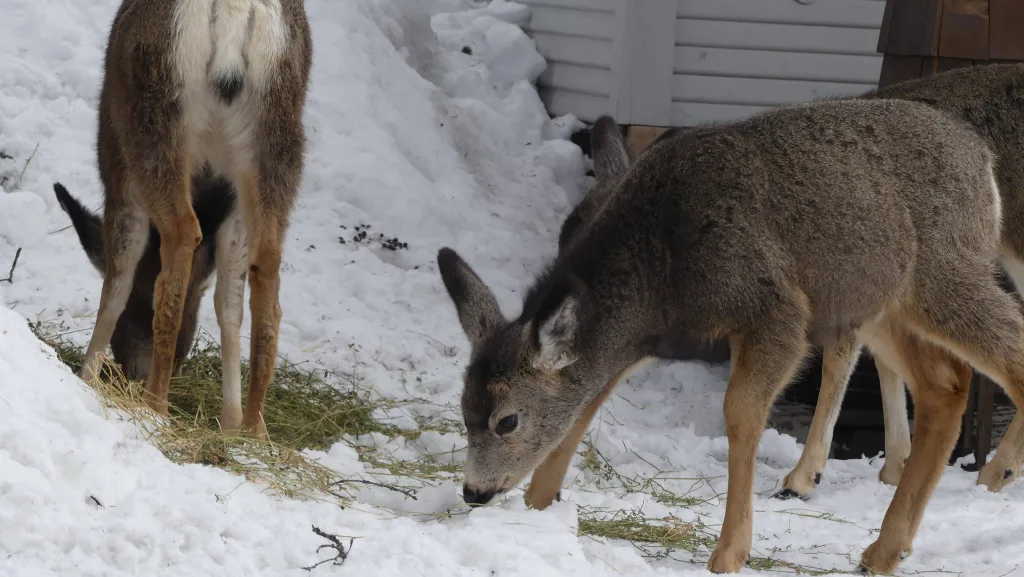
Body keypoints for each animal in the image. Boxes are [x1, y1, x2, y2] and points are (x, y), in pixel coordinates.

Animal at [69, 0, 312, 437]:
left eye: (136, 313)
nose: (132, 371)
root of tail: (236, 12)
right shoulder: (231, 201)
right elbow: (227, 301)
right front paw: (230, 421)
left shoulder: (117, 169)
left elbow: (118, 278)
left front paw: (86, 375)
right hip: (278, 138)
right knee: (267, 261)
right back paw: (255, 429)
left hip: (155, 119)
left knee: (182, 233)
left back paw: (156, 403)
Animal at [436, 98, 1024, 574]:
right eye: (463, 413)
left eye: (507, 420)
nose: (474, 491)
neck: (659, 271)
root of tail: (981, 158)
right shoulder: (634, 344)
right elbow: (582, 410)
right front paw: (539, 508)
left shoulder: (776, 309)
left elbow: (740, 413)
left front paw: (729, 552)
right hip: (879, 302)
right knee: (945, 386)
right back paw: (885, 550)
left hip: (942, 271)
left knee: (1008, 355)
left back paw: (996, 476)